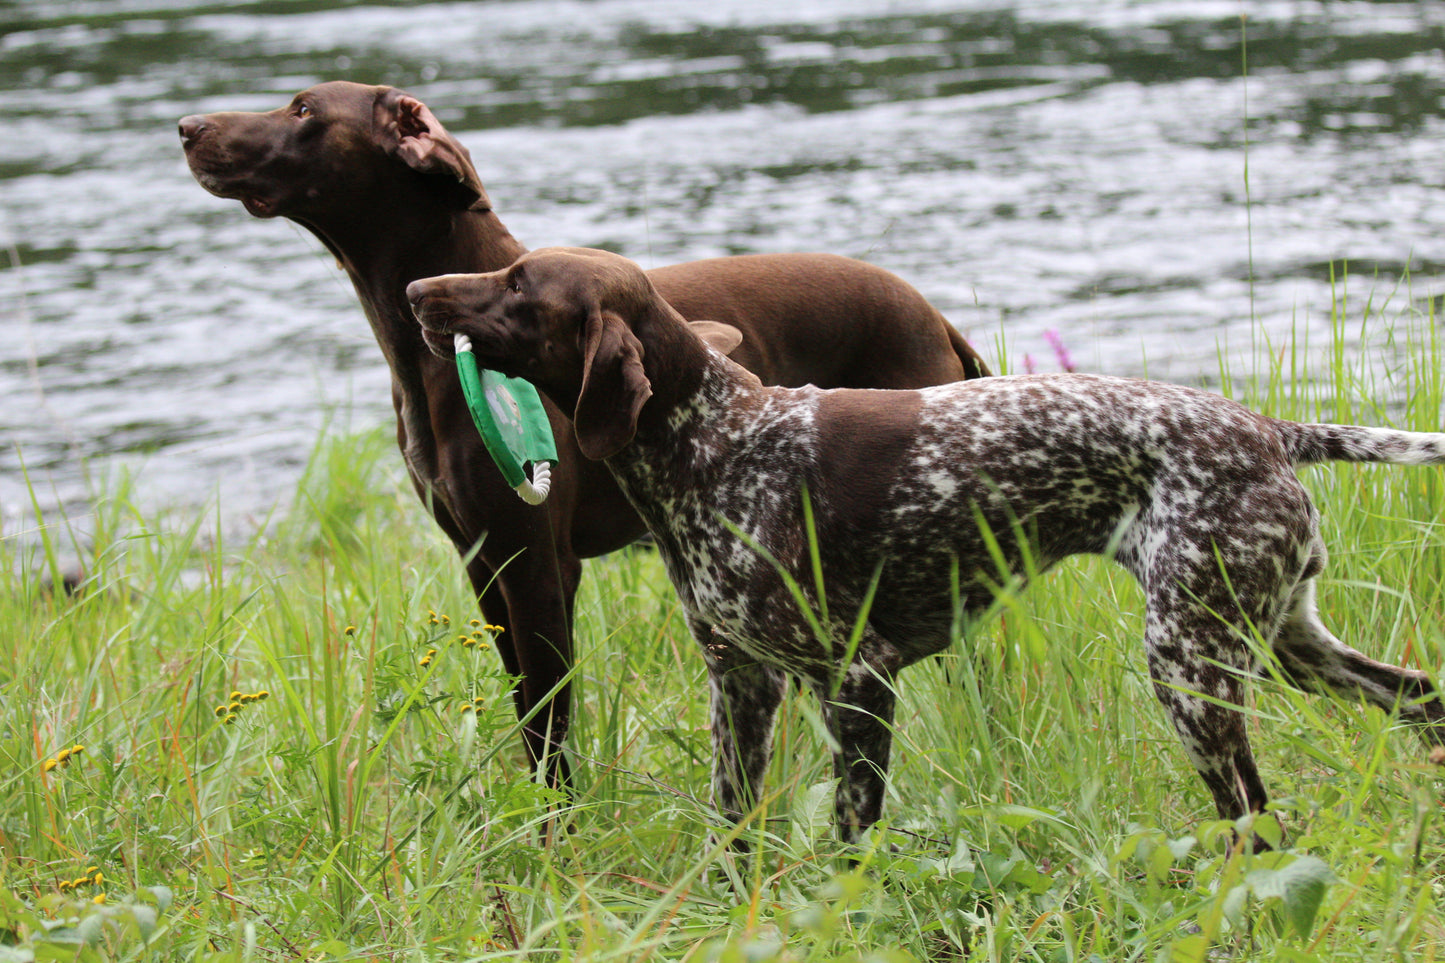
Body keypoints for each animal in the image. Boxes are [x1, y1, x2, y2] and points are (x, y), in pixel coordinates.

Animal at [177, 80, 994, 786]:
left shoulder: (538, 566)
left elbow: (548, 730)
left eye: (303, 109)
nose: (186, 127)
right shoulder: (483, 565)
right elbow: (527, 717)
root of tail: (934, 317)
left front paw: (552, 842)